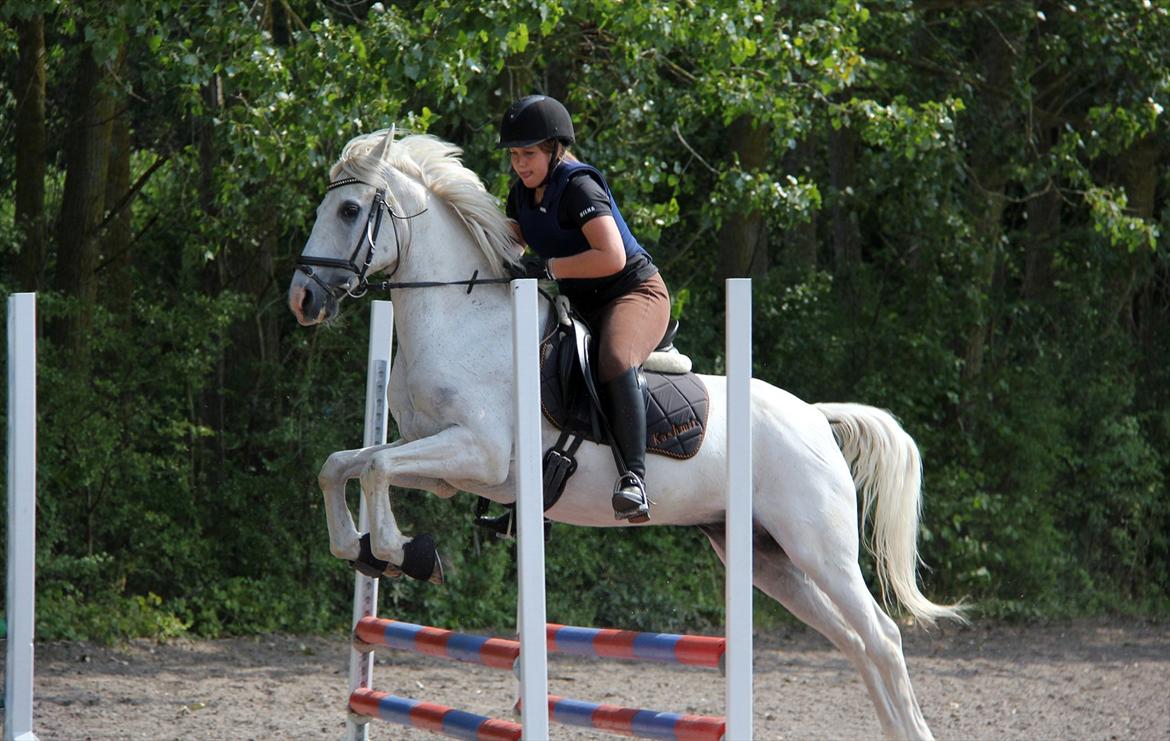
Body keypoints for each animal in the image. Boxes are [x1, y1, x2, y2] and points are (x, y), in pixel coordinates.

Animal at [287, 128, 963, 740]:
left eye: (349, 210)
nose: (302, 299)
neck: (460, 316)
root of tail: (815, 417)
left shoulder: (480, 454)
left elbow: (374, 468)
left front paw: (403, 552)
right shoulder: (443, 465)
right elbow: (344, 463)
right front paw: (363, 548)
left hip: (818, 546)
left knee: (882, 636)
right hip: (767, 556)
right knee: (855, 642)